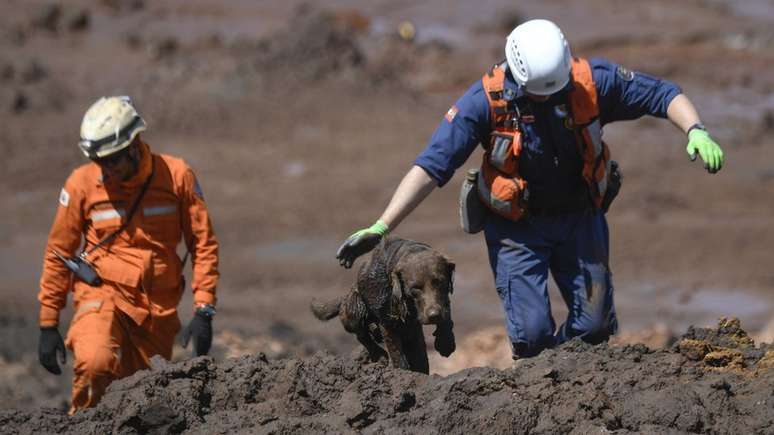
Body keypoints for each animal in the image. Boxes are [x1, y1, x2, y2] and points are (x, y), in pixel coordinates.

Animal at [310, 238, 454, 374]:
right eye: (415, 289)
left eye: (440, 282)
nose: (434, 316)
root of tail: (346, 296)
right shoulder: (388, 322)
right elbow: (396, 353)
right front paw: (401, 371)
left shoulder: (443, 302)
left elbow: (446, 317)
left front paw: (445, 342)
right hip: (355, 307)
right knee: (361, 335)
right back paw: (379, 354)